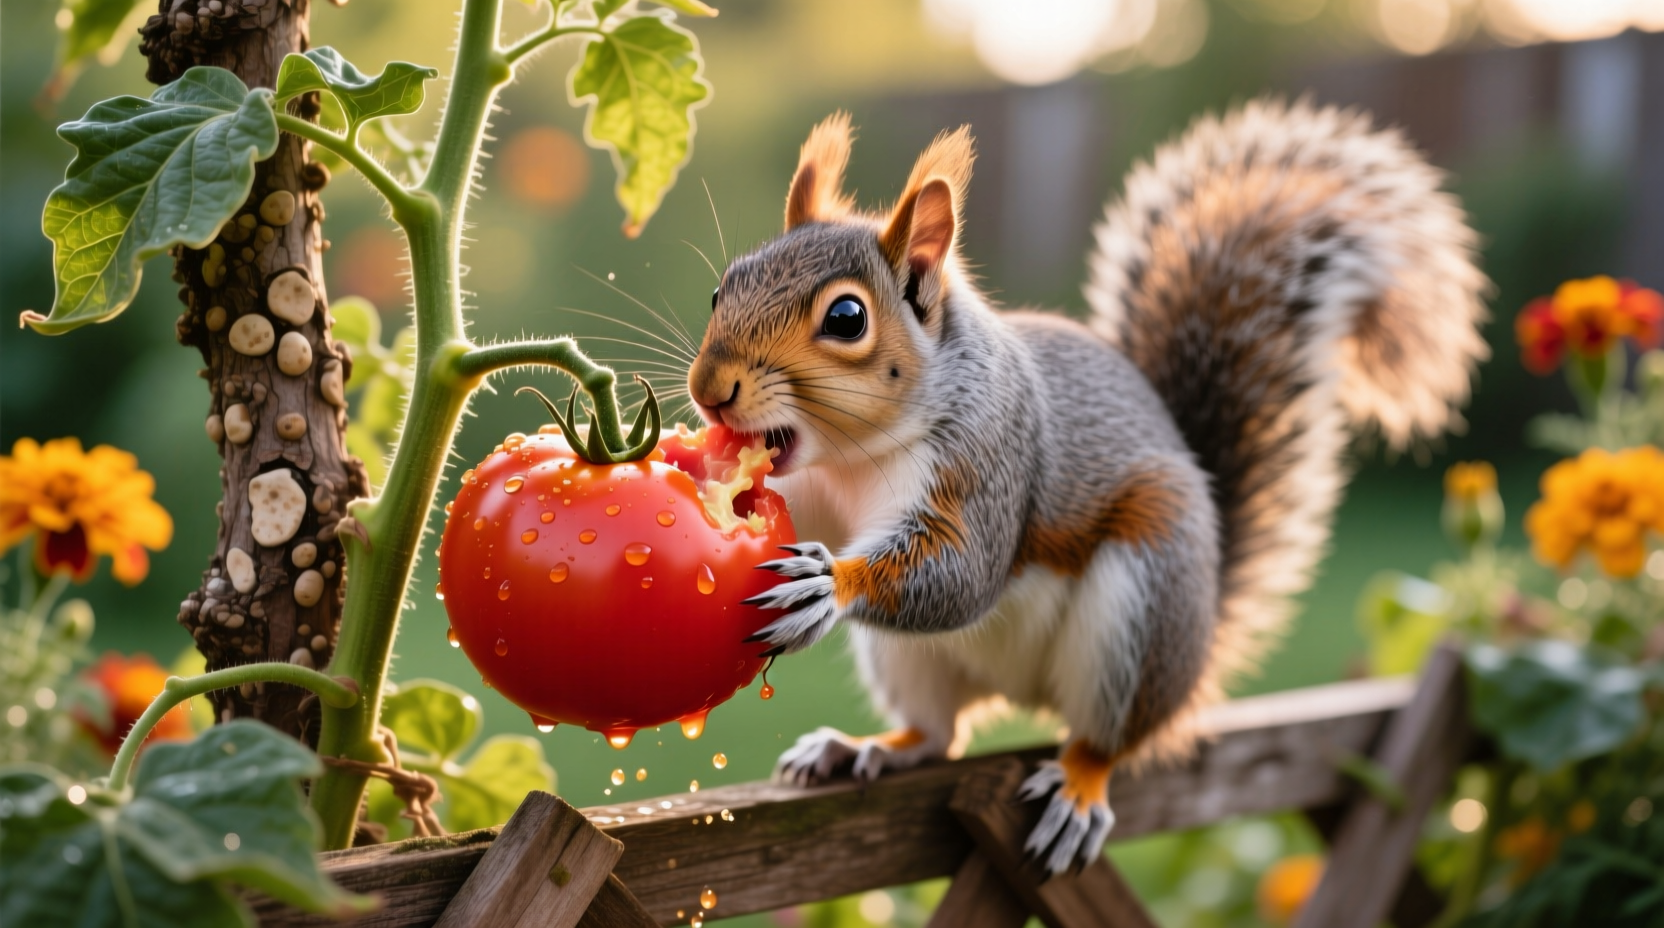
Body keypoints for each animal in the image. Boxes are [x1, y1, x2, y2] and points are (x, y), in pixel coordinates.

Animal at [686, 100, 1488, 874]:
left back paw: (1077, 786)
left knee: (1106, 738)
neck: (852, 456)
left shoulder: (988, 463)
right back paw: (867, 746)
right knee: (938, 734)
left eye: (848, 317)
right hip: (912, 661)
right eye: (723, 287)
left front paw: (828, 584)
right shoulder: (816, 492)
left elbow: (963, 574)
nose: (708, 392)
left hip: (1143, 607)